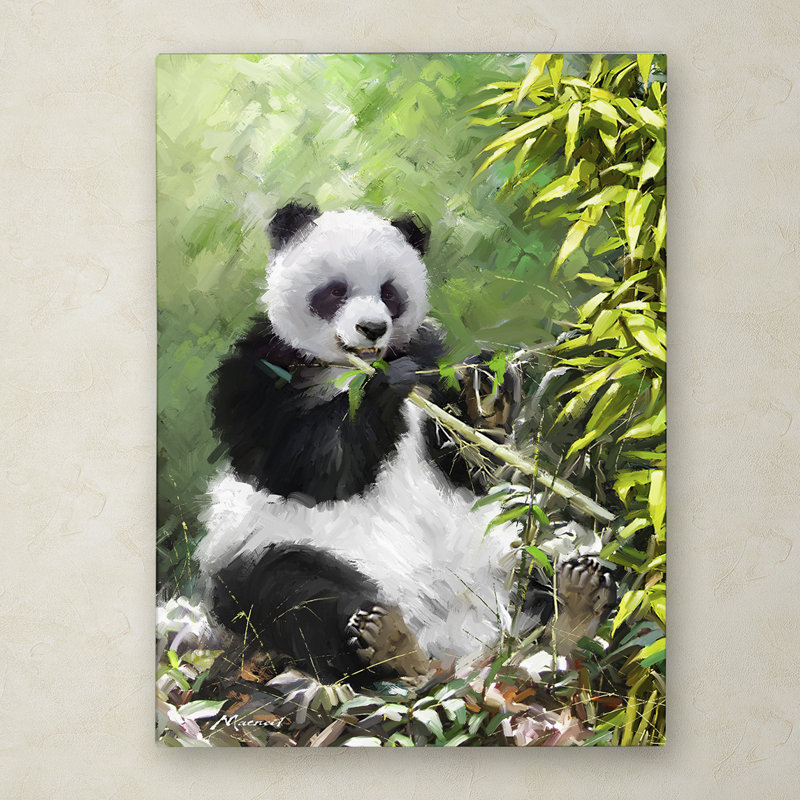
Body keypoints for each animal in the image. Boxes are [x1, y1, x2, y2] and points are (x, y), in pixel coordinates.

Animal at [194, 203, 615, 685]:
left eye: (389, 292)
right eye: (335, 291)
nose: (373, 328)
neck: (350, 366)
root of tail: (450, 639)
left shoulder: (430, 357)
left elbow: (468, 462)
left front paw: (487, 393)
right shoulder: (261, 373)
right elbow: (308, 466)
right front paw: (384, 391)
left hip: (501, 539)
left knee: (540, 556)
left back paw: (577, 601)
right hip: (273, 548)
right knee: (298, 596)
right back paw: (387, 642)